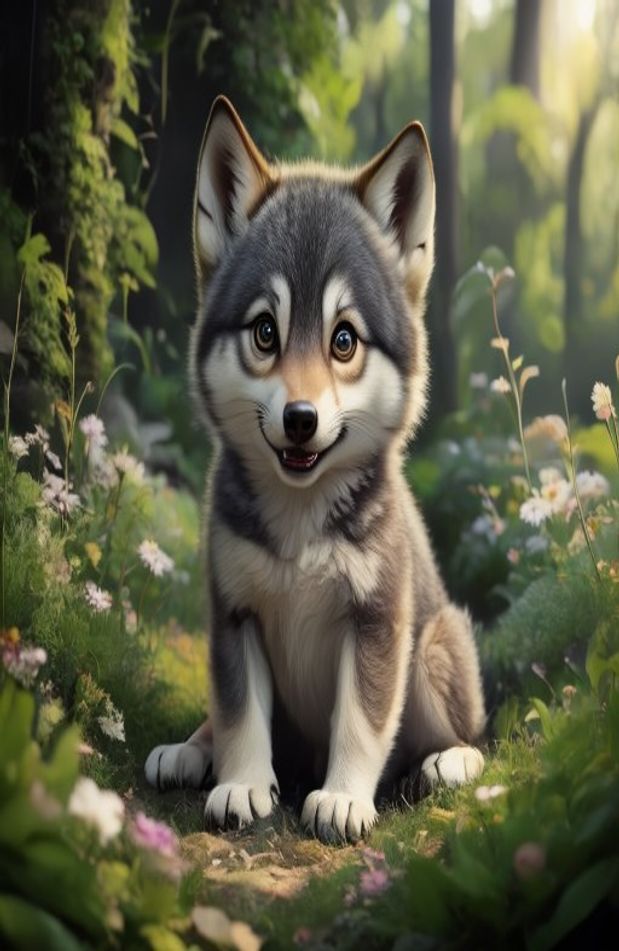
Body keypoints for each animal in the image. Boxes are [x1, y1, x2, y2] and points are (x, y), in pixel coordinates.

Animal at [145, 96, 486, 843]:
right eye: (265, 332)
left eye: (344, 340)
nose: (300, 418)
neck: (301, 521)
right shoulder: (233, 612)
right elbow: (240, 714)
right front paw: (242, 783)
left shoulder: (377, 619)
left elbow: (360, 720)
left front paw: (344, 798)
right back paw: (189, 750)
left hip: (436, 642)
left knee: (465, 733)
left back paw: (447, 762)